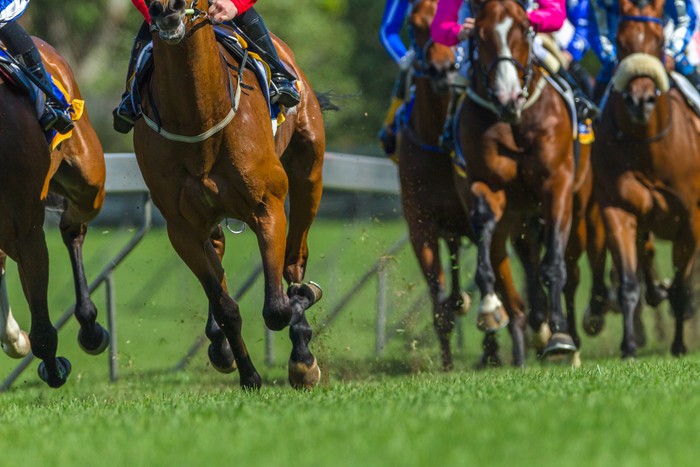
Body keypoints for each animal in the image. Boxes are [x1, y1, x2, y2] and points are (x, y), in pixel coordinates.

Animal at [0, 37, 108, 387]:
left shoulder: (27, 232)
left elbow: (43, 329)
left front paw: (52, 366)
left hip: (90, 181)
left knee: (73, 229)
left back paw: (90, 327)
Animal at [134, 0, 327, 389]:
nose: (169, 8)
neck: (198, 120)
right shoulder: (182, 229)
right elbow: (226, 307)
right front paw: (249, 374)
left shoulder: (267, 206)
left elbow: (277, 308)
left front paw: (303, 306)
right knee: (219, 252)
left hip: (308, 173)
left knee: (294, 260)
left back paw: (302, 349)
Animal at [453, 0, 578, 365]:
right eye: (480, 34)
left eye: (524, 29)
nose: (507, 96)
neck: (516, 120)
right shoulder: (486, 183)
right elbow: (484, 232)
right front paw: (489, 307)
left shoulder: (558, 184)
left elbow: (554, 266)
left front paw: (560, 335)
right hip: (517, 217)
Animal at [591, 0, 700, 358]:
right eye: (620, 41)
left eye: (659, 41)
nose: (640, 100)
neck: (648, 146)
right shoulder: (617, 208)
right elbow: (628, 282)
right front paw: (628, 346)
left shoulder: (690, 218)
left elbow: (682, 285)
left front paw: (679, 345)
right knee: (646, 253)